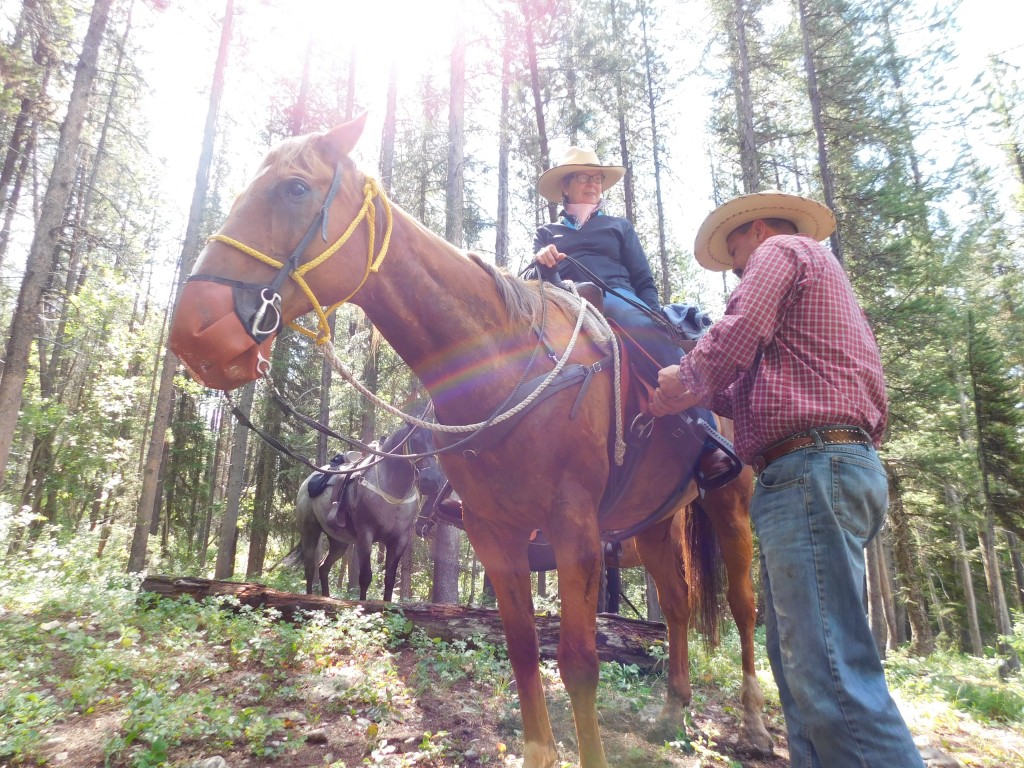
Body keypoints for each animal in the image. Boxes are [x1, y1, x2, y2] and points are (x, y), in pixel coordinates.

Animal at [292, 423, 444, 606]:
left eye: (436, 440)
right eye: (415, 438)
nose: (432, 481)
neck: (393, 492)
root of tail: (308, 481)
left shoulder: (399, 540)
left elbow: (389, 579)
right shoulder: (365, 536)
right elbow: (365, 577)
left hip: (339, 542)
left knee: (323, 568)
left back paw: (326, 599)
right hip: (310, 532)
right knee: (310, 568)